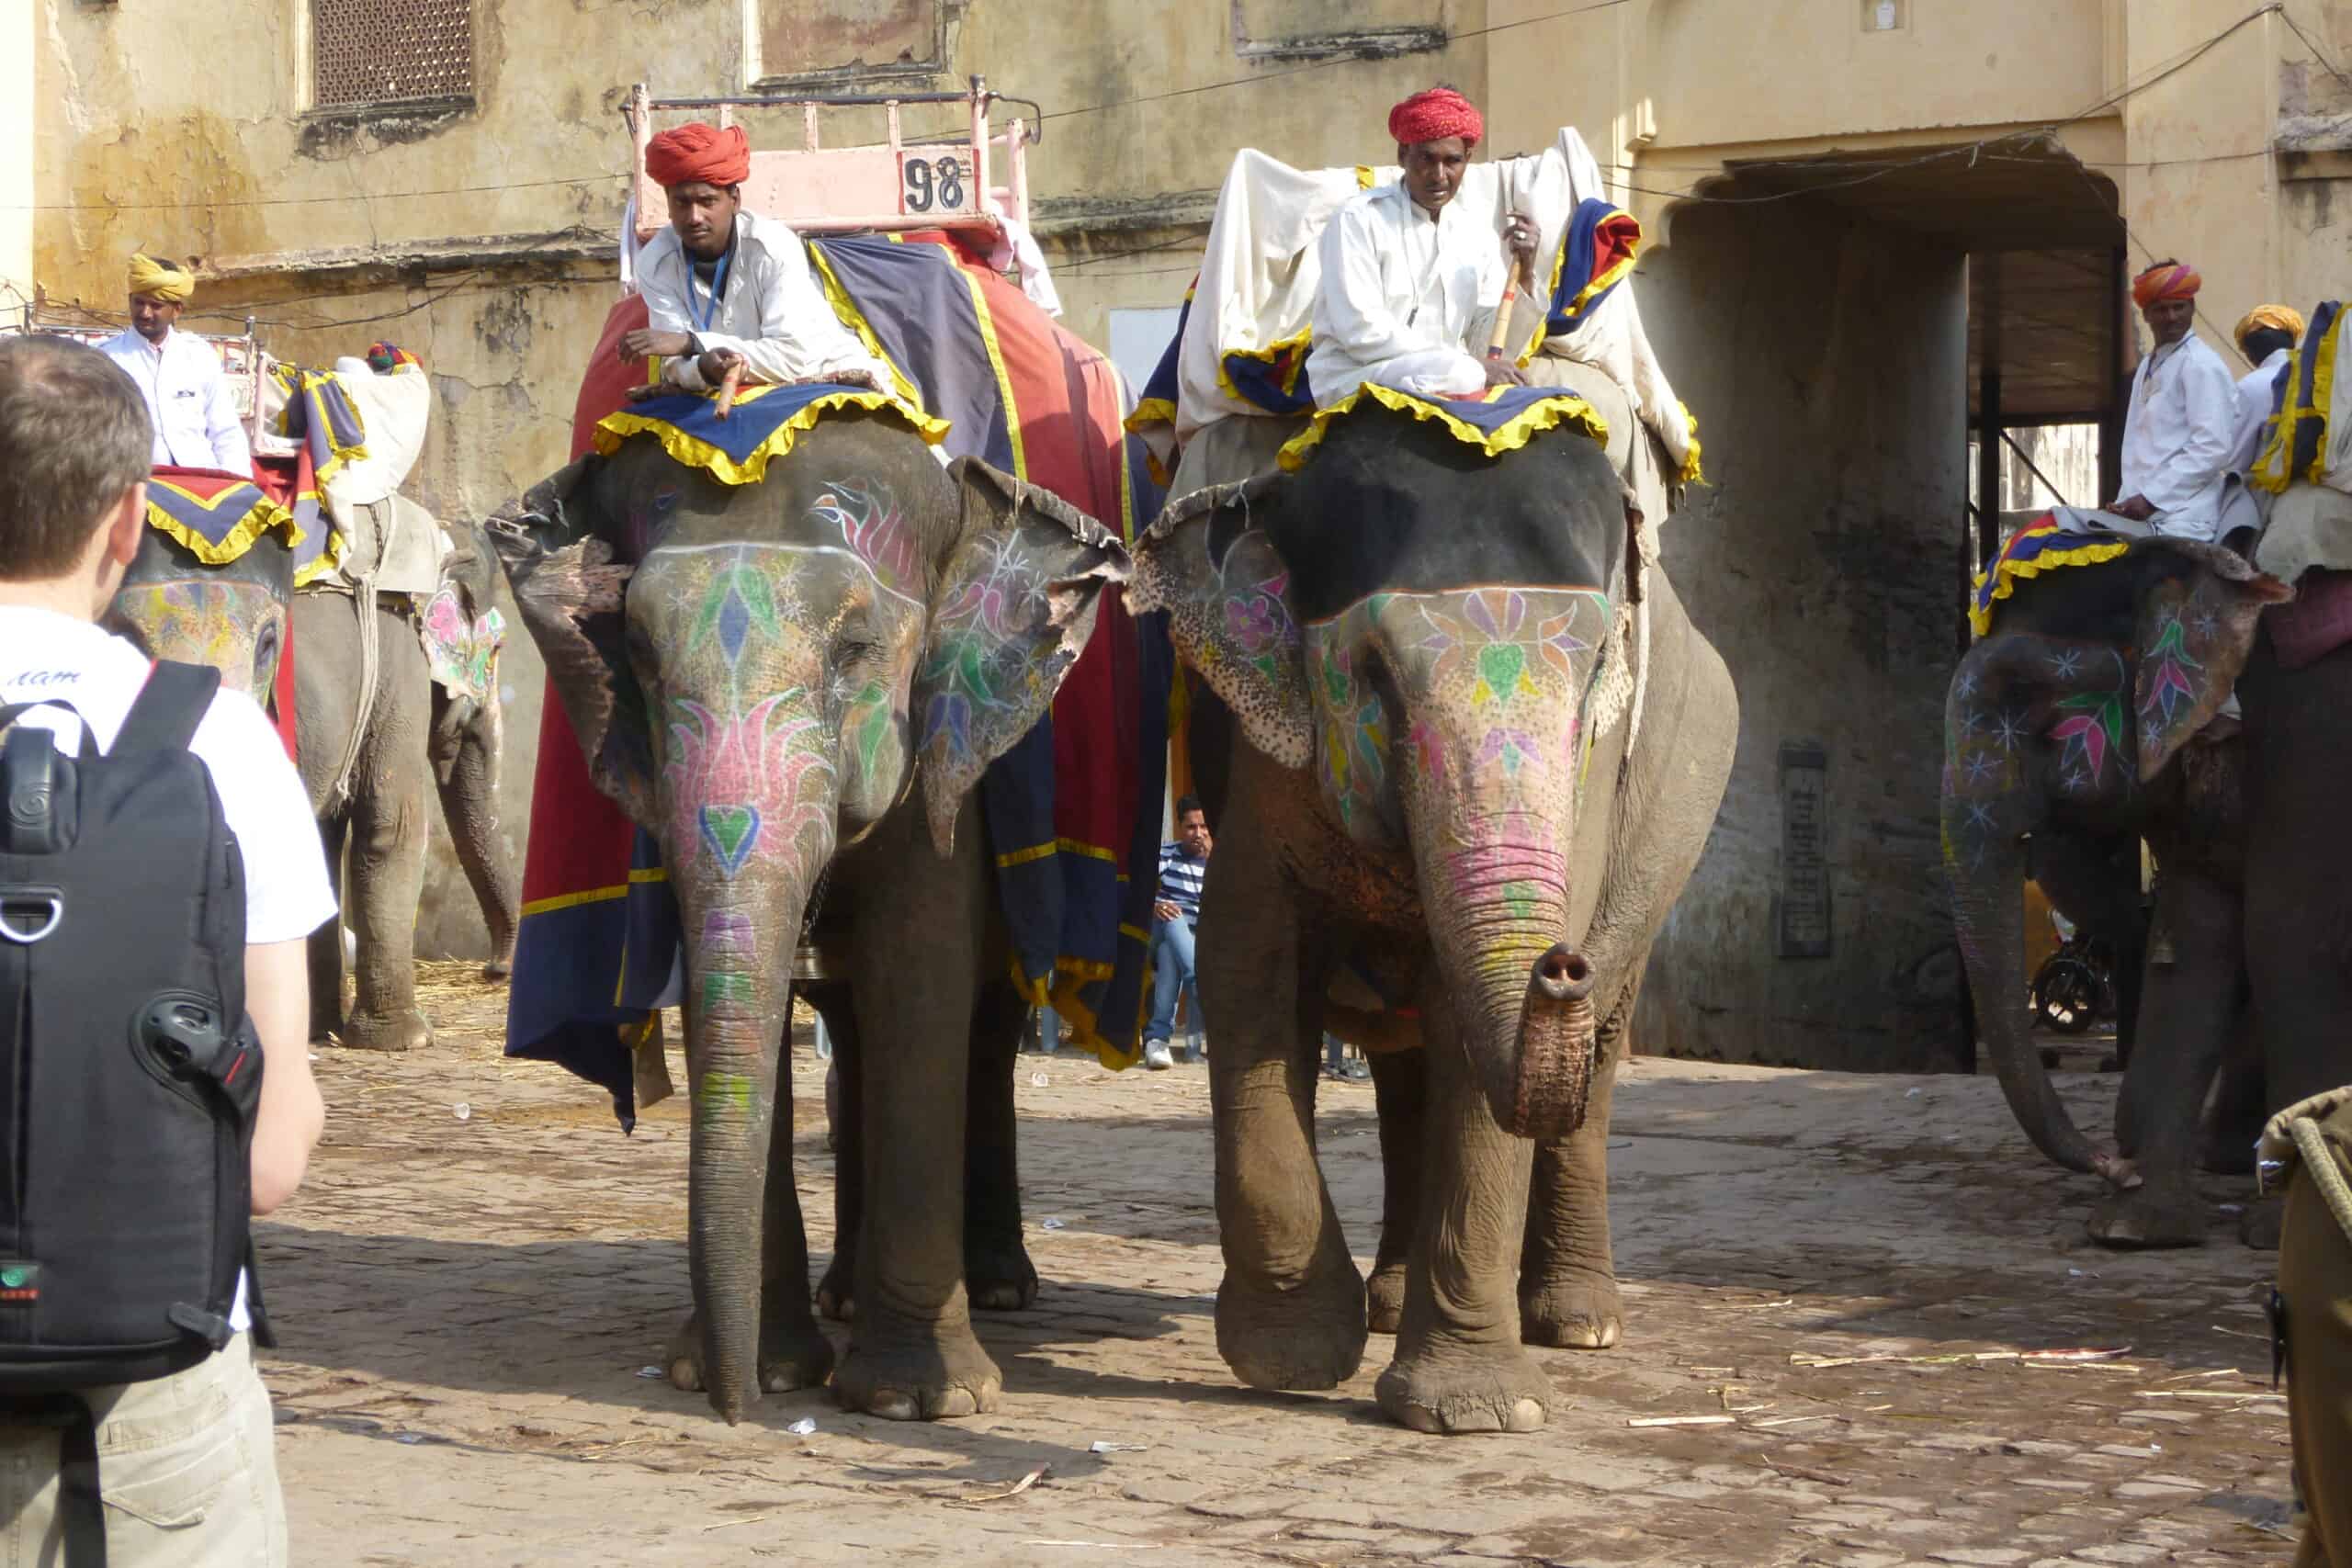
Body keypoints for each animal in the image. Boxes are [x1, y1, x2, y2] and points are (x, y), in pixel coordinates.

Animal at [295, 516, 520, 1052]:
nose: (493, 972)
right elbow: (392, 827)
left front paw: (323, 1031)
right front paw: (409, 1039)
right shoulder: (399, 669)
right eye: (496, 651)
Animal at [486, 417, 1126, 1425]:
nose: (735, 1410)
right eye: (639, 653)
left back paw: (996, 1288)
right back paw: (846, 1299)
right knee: (855, 1034)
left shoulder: (941, 770)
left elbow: (919, 975)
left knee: (980, 1030)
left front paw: (919, 1403)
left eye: (855, 645)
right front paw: (764, 1370)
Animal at [1131, 405, 1737, 1434]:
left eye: (1593, 679)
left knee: (1591, 1063)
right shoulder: (1261, 764)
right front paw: (1291, 1362)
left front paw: (1480, 1412)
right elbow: (1246, 966)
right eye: (1375, 675)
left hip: (1661, 851)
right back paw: (1388, 1306)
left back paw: (1579, 1324)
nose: (1560, 965)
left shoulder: (1590, 788)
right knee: (1404, 1073)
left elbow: (1467, 1031)